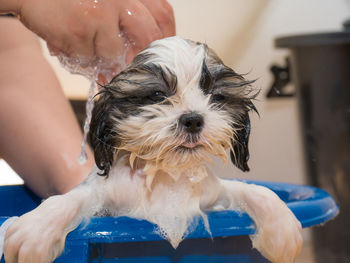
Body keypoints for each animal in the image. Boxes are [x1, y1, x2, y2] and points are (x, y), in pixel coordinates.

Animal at [4, 37, 302, 263]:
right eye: (158, 95)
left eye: (216, 96)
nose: (193, 119)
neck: (165, 177)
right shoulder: (105, 201)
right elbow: (68, 199)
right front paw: (36, 228)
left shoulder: (213, 197)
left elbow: (254, 190)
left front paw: (283, 229)